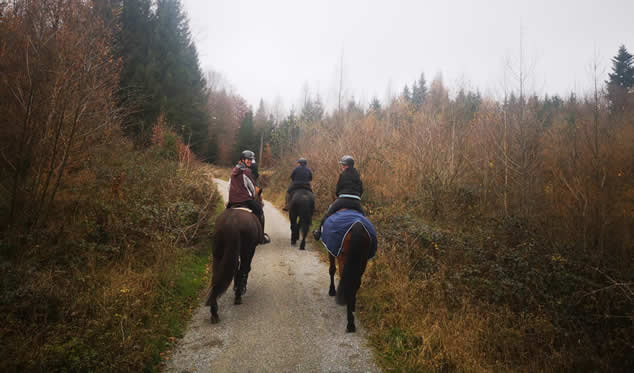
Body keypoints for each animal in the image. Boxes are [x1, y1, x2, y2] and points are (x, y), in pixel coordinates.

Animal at [202, 187, 262, 322]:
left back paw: (214, 311)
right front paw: (241, 287)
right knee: (243, 267)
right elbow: (245, 269)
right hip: (245, 250)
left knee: (216, 276)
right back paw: (238, 296)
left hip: (218, 253)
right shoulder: (251, 250)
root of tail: (231, 222)